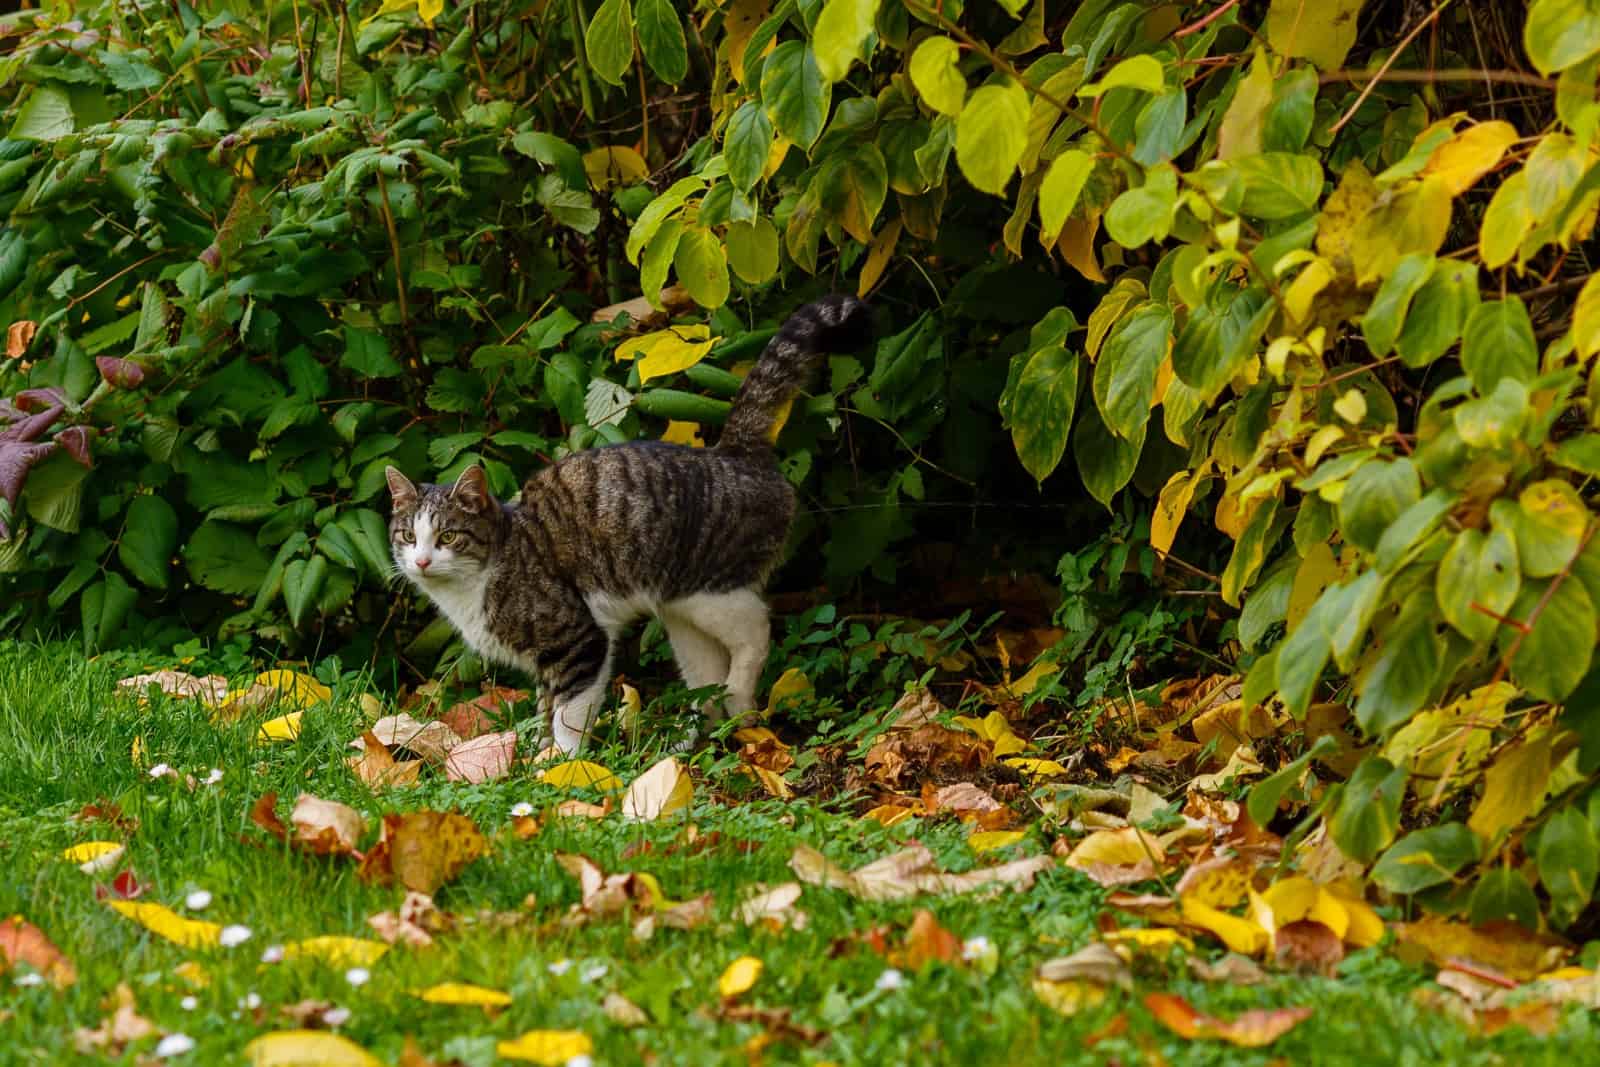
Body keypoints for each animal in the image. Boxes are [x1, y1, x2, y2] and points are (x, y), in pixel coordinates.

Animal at [388, 295, 876, 755]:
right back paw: (692, 740)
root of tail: (735, 452)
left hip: (707, 587)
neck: (478, 581)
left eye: (448, 535)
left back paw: (739, 700)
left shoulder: (579, 639)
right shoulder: (546, 662)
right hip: (681, 616)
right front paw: (535, 755)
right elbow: (546, 708)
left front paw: (560, 766)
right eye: (409, 536)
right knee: (706, 675)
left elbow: (569, 712)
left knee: (756, 629)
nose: (422, 561)